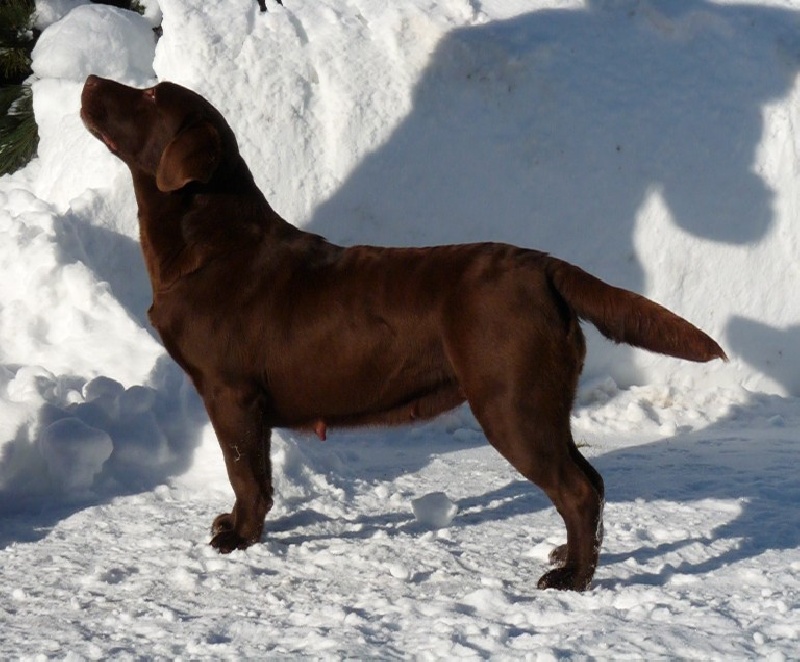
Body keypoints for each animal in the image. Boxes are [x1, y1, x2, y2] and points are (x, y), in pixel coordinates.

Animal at [79, 75, 724, 592]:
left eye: (151, 97)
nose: (89, 79)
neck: (207, 244)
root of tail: (542, 266)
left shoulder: (230, 393)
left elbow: (247, 475)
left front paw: (238, 536)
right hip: (541, 402)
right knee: (589, 480)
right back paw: (568, 556)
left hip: (511, 403)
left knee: (578, 489)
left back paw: (573, 578)